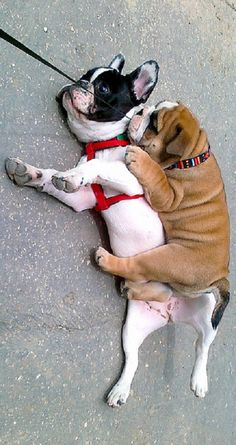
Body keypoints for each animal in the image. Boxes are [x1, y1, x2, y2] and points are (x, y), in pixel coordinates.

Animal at [95, 100, 230, 324]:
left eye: (153, 124)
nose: (141, 109)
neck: (189, 157)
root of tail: (220, 277)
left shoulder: (168, 195)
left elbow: (155, 173)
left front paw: (141, 159)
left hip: (166, 258)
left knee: (136, 268)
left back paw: (105, 260)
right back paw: (130, 290)